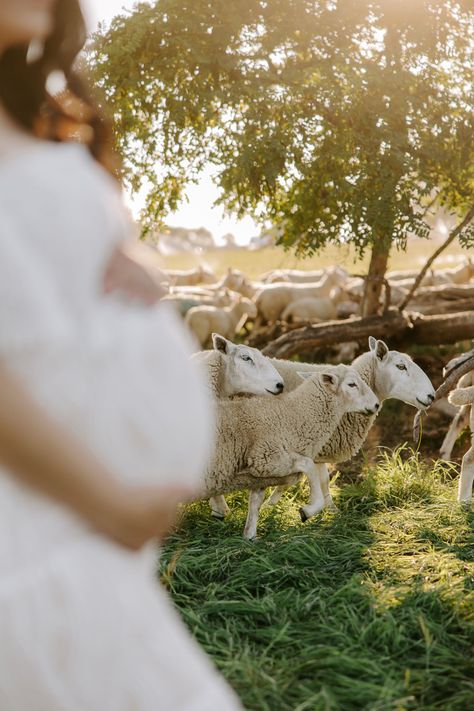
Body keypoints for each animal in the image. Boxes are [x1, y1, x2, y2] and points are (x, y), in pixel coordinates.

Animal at [202, 364, 380, 536]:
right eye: (352, 384)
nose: (377, 404)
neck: (292, 416)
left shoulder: (262, 471)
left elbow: (255, 501)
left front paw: (249, 536)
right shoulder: (265, 457)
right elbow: (308, 467)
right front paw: (309, 510)